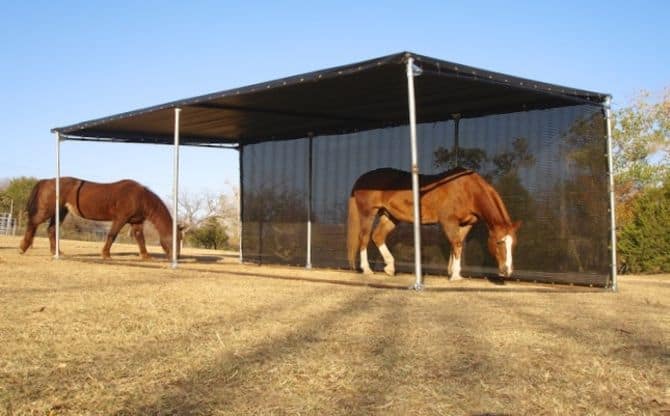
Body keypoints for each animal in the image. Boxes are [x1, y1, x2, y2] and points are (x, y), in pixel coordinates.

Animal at [19, 177, 184, 260]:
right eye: (175, 238)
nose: (177, 257)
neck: (140, 197)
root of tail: (47, 180)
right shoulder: (120, 219)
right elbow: (112, 235)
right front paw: (105, 254)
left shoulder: (136, 222)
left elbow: (140, 239)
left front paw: (145, 256)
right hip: (47, 210)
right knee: (33, 223)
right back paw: (23, 247)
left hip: (61, 212)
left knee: (51, 230)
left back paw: (56, 252)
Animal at [347, 167, 521, 280]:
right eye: (499, 242)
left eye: (513, 244)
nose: (507, 271)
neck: (468, 190)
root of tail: (362, 179)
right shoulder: (449, 221)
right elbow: (456, 244)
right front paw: (455, 276)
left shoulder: (465, 224)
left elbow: (457, 244)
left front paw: (454, 272)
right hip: (368, 213)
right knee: (364, 237)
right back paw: (367, 269)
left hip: (390, 216)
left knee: (378, 236)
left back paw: (390, 268)